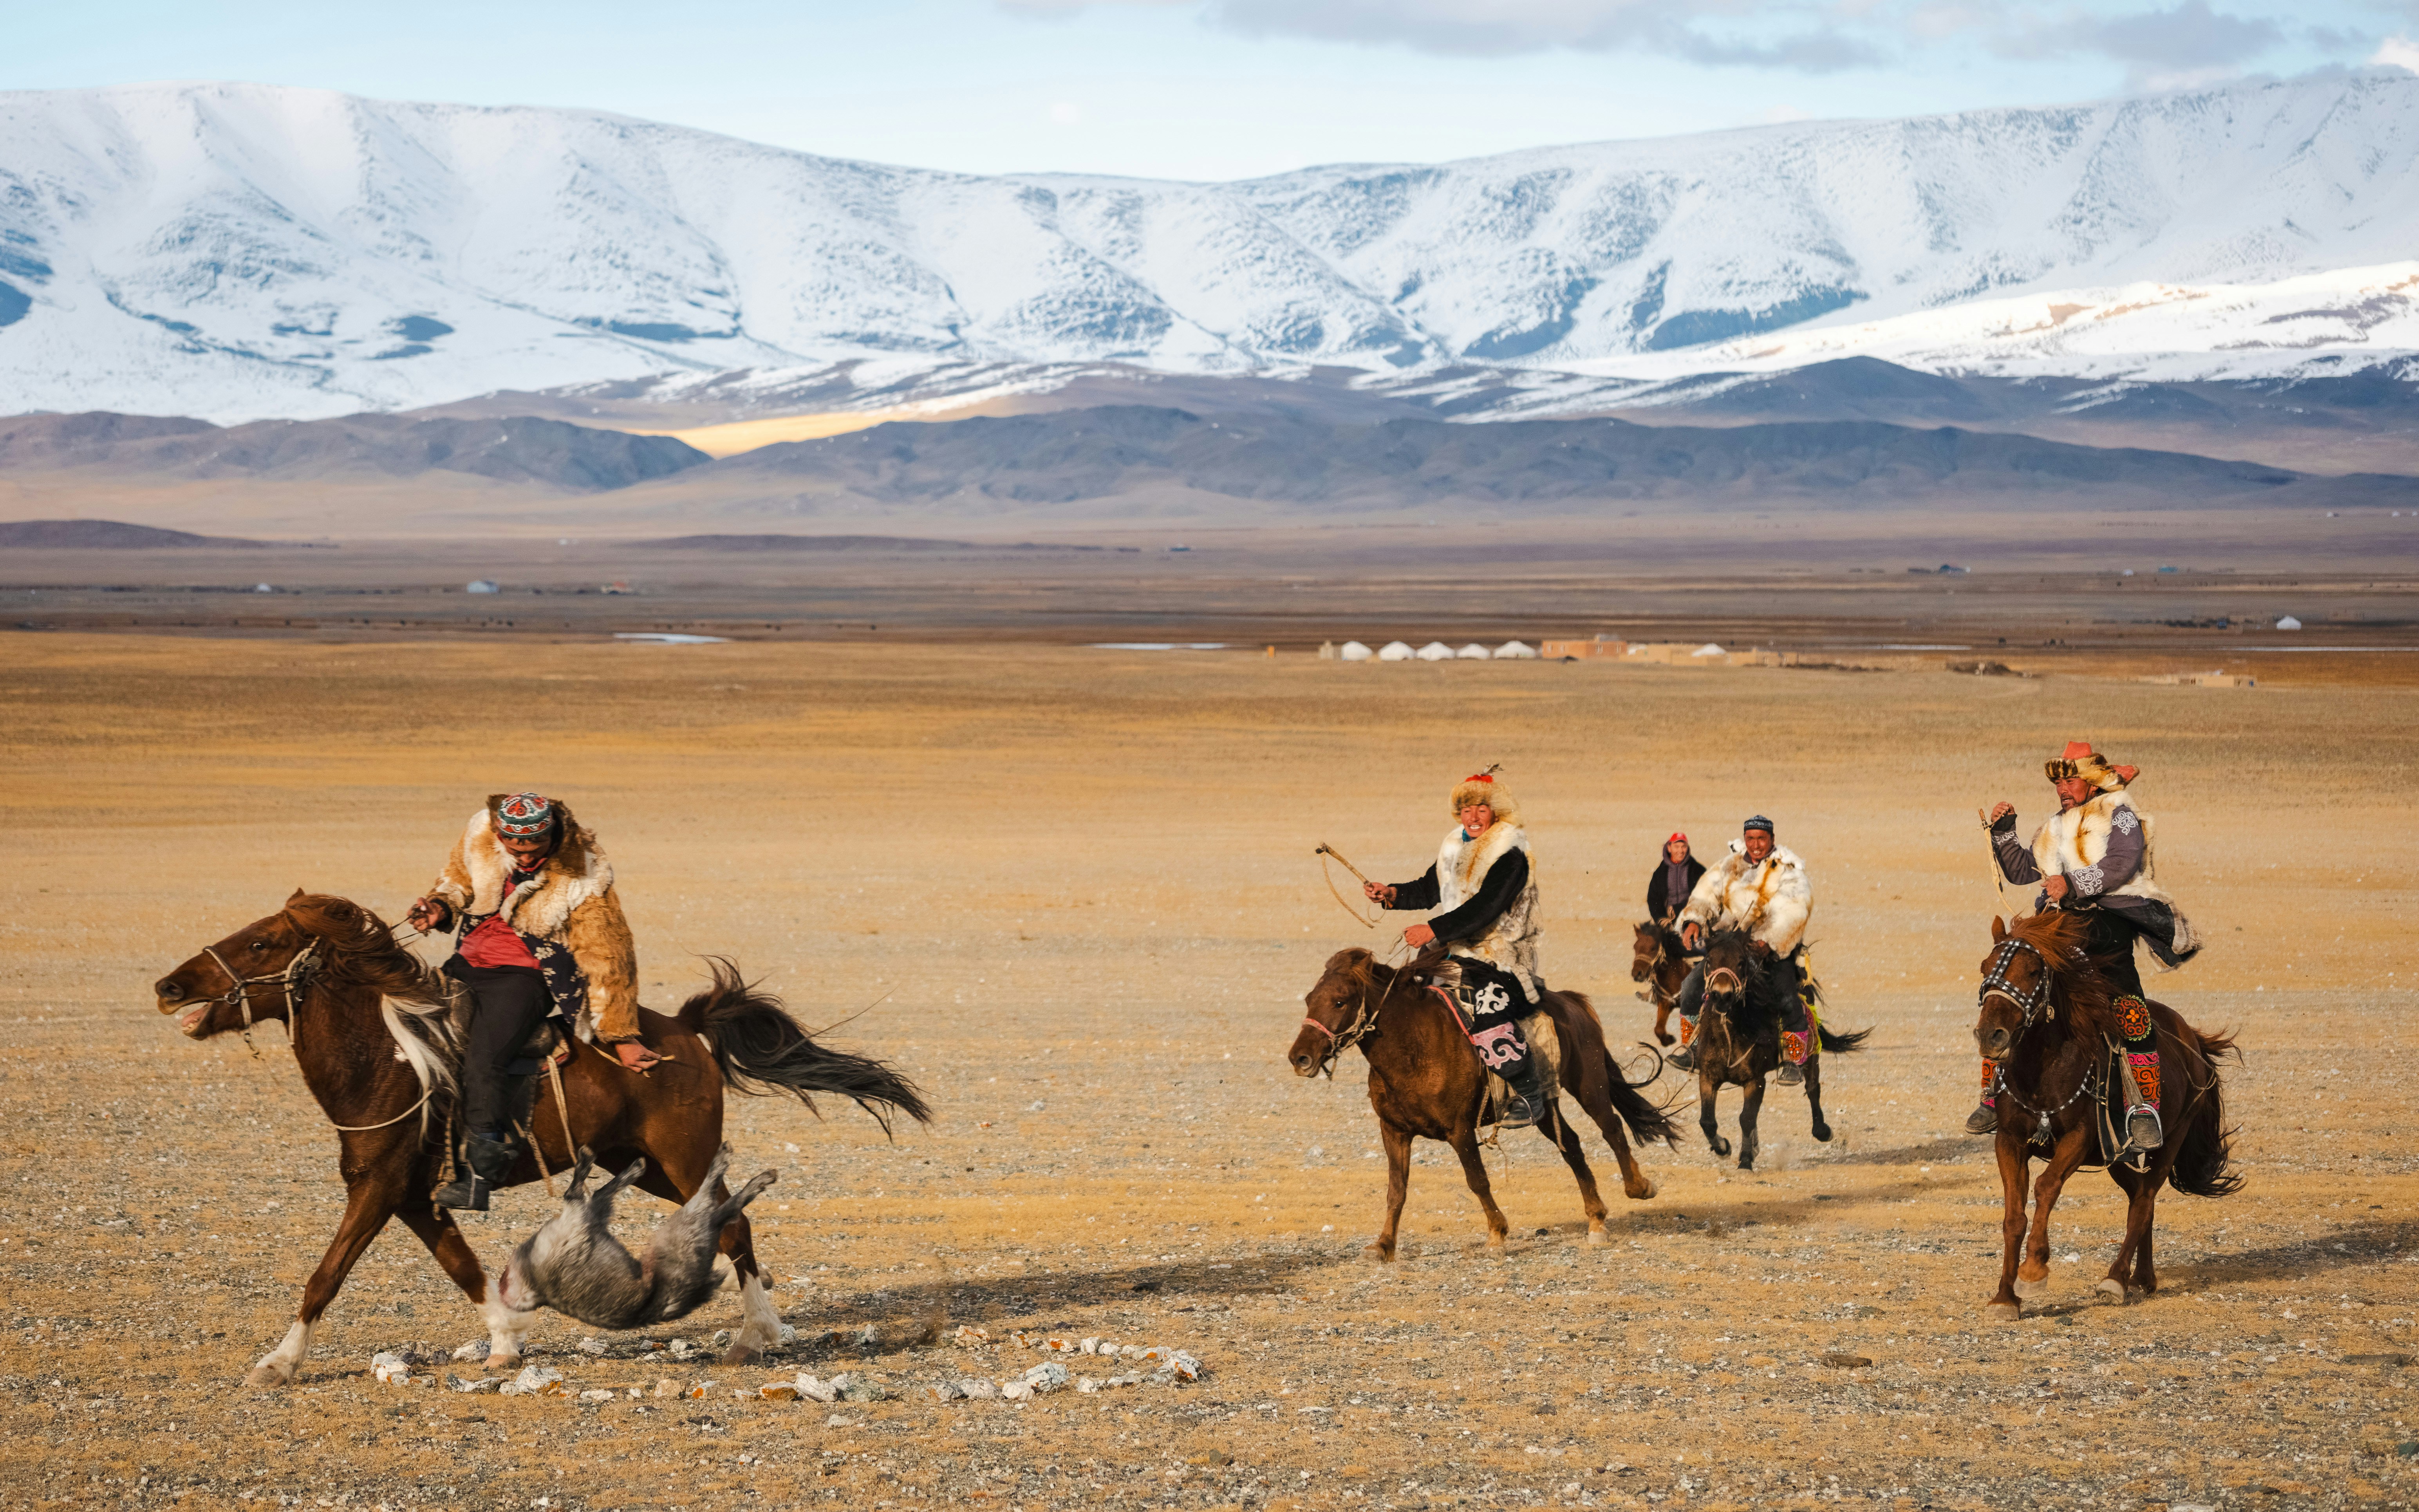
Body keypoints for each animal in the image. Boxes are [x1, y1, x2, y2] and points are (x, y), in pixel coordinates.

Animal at [151, 891, 930, 1387]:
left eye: (261, 941)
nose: (168, 985)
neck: (391, 1060)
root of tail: (685, 1030)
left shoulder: (378, 1189)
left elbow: (326, 1274)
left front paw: (277, 1364)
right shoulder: (414, 1195)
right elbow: (461, 1266)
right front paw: (503, 1343)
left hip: (684, 1159)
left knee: (735, 1227)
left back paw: (756, 1335)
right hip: (642, 1164)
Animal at [1287, 947, 1679, 1259]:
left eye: (1340, 1001)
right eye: (1308, 999)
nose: (1300, 1058)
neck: (1413, 1047)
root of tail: (1572, 1002)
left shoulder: (1459, 1129)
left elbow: (1477, 1180)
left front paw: (1497, 1235)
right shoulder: (1394, 1131)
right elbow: (1396, 1190)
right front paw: (1383, 1245)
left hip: (1589, 1084)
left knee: (1611, 1127)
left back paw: (1639, 1187)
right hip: (1543, 1106)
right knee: (1571, 1144)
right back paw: (1596, 1220)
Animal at [1631, 920, 1692, 1046]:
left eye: (1653, 948)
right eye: (1635, 947)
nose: (1637, 974)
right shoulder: (1665, 1002)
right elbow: (1658, 1029)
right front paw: (1669, 1039)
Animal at [1688, 928, 1869, 1170]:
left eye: (1741, 962)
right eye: (1708, 961)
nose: (1722, 995)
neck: (1731, 1032)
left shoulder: (1755, 1080)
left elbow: (1746, 1118)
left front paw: (1745, 1161)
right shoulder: (1708, 1077)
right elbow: (1707, 1121)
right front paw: (1724, 1148)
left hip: (1811, 1056)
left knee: (1813, 1088)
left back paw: (1822, 1131)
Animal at [1973, 910, 2241, 1318]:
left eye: (2034, 971)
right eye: (1985, 967)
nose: (1991, 1036)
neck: (2043, 1071)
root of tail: (2192, 1042)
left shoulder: (2079, 1138)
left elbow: (2046, 1186)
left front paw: (2033, 1272)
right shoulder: (2009, 1141)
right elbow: (2013, 1215)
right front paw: (2005, 1297)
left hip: (2169, 1141)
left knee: (2144, 1201)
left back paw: (2116, 1280)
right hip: (2117, 1157)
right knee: (2140, 1198)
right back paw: (2142, 1278)